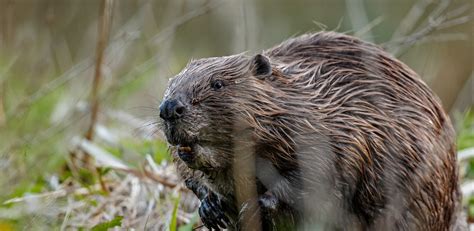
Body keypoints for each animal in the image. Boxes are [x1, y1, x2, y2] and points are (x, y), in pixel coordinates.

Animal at [157, 31, 464, 230]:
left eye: (218, 83)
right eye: (170, 84)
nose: (169, 108)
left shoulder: (342, 129)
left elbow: (319, 176)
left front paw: (255, 205)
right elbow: (189, 175)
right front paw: (211, 209)